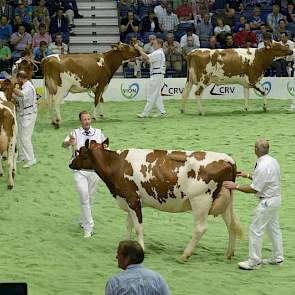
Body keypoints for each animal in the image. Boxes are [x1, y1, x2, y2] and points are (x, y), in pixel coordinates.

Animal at [70, 140, 244, 262]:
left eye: (81, 152)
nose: (71, 164)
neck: (116, 164)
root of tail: (227, 159)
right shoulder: (129, 201)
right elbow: (128, 225)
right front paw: (125, 246)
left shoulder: (132, 199)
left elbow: (138, 227)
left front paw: (141, 249)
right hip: (226, 200)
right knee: (231, 225)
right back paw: (228, 254)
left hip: (200, 200)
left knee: (201, 228)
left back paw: (185, 255)